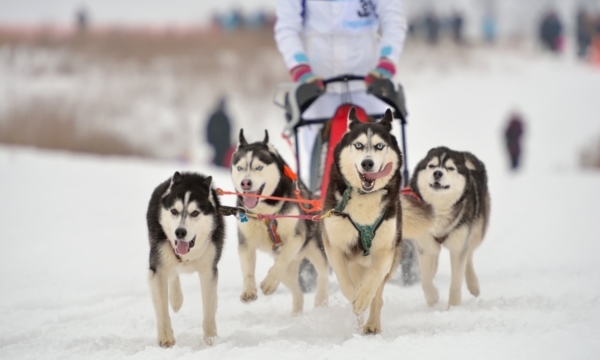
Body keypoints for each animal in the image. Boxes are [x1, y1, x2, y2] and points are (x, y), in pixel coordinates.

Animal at [232, 131, 330, 314]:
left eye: (259, 167)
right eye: (240, 168)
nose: (245, 183)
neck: (265, 213)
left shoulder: (296, 237)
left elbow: (284, 258)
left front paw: (269, 282)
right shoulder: (246, 243)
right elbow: (248, 270)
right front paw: (248, 290)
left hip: (314, 249)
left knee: (322, 274)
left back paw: (321, 301)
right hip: (288, 272)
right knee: (297, 291)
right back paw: (296, 313)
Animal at [410, 146, 490, 306]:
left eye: (451, 168)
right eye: (432, 166)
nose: (437, 173)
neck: (440, 210)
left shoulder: (459, 245)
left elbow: (456, 282)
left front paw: (453, 307)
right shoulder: (425, 244)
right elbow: (425, 281)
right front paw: (433, 298)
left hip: (476, 232)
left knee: (469, 254)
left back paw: (473, 284)